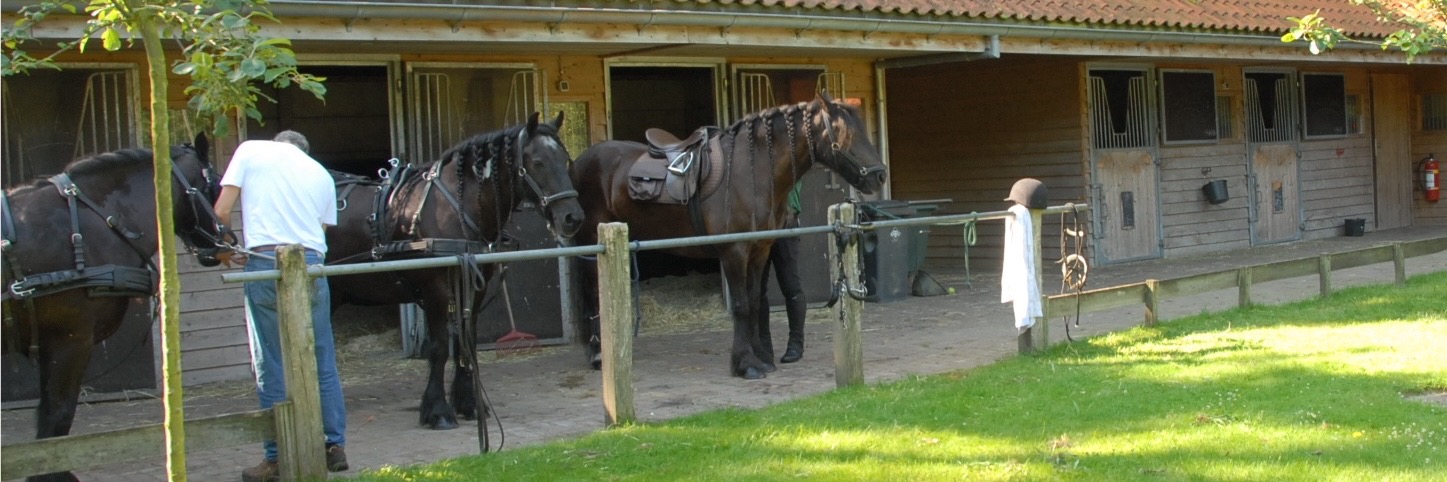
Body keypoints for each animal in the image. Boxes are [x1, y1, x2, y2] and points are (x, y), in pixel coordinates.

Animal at [0, 136, 225, 480]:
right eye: (214, 184)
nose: (224, 238)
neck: (96, 222)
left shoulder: (53, 344)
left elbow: (49, 418)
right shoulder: (70, 341)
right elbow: (57, 417)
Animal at [324, 112, 581, 428]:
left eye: (565, 159)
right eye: (537, 162)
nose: (572, 217)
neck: (455, 209)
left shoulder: (474, 285)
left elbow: (465, 341)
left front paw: (469, 403)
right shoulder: (436, 290)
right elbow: (439, 347)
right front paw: (437, 410)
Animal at [570, 91, 885, 376]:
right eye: (846, 132)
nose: (879, 175)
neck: (752, 170)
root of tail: (580, 161)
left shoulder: (759, 250)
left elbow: (756, 303)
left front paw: (761, 359)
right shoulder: (734, 252)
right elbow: (742, 306)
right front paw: (745, 365)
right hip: (591, 245)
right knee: (592, 293)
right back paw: (598, 355)